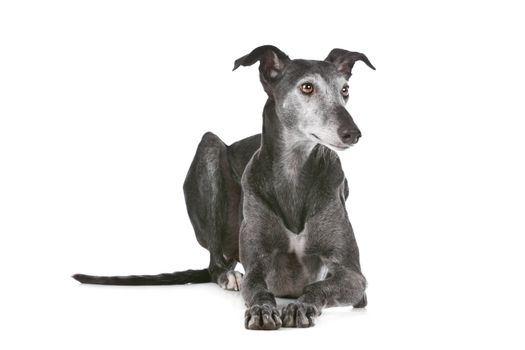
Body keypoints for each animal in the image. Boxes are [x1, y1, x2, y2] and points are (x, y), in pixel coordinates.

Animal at [74, 45, 376, 330]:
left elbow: (320, 287)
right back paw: (226, 275)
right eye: (307, 87)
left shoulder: (354, 277)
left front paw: (300, 306)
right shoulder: (256, 266)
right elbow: (258, 289)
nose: (354, 134)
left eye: (345, 90)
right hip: (209, 150)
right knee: (214, 262)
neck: (294, 171)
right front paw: (262, 309)